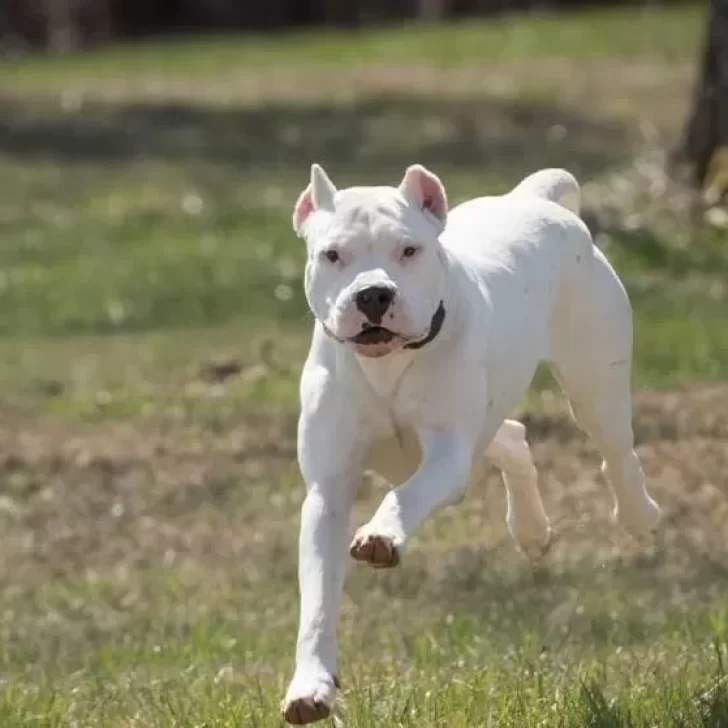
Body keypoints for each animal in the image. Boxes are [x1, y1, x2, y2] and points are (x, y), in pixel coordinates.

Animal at [280, 164, 660, 724]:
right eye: (332, 255)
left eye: (409, 250)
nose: (373, 295)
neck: (388, 364)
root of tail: (536, 199)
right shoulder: (328, 490)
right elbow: (318, 601)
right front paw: (310, 687)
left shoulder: (447, 455)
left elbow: (407, 494)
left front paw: (381, 534)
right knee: (513, 439)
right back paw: (531, 529)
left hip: (595, 382)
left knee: (617, 452)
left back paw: (638, 516)